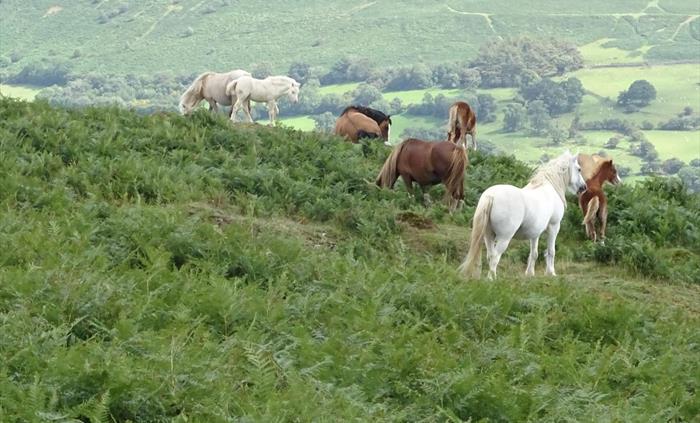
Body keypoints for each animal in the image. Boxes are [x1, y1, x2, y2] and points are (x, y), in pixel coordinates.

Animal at [458, 151, 587, 280]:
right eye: (579, 169)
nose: (583, 187)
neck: (549, 186)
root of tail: (491, 195)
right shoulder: (554, 227)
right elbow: (551, 251)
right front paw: (551, 273)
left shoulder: (535, 233)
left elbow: (534, 253)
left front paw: (530, 273)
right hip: (504, 238)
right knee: (495, 256)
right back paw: (492, 278)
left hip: (488, 235)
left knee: (490, 255)